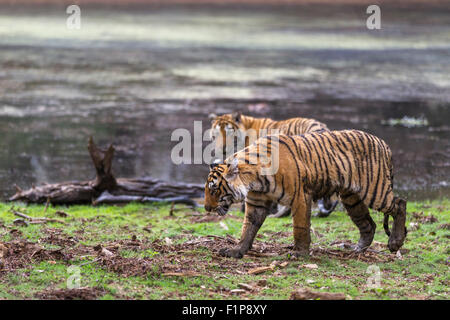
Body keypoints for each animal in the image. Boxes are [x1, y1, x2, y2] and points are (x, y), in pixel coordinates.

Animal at [204, 129, 408, 258]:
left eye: (214, 188)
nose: (206, 208)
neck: (255, 180)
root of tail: (384, 143)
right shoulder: (256, 203)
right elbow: (247, 228)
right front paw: (237, 251)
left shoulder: (300, 197)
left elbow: (300, 227)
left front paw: (299, 253)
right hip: (352, 199)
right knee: (368, 224)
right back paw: (356, 249)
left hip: (375, 191)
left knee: (400, 203)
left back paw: (395, 242)